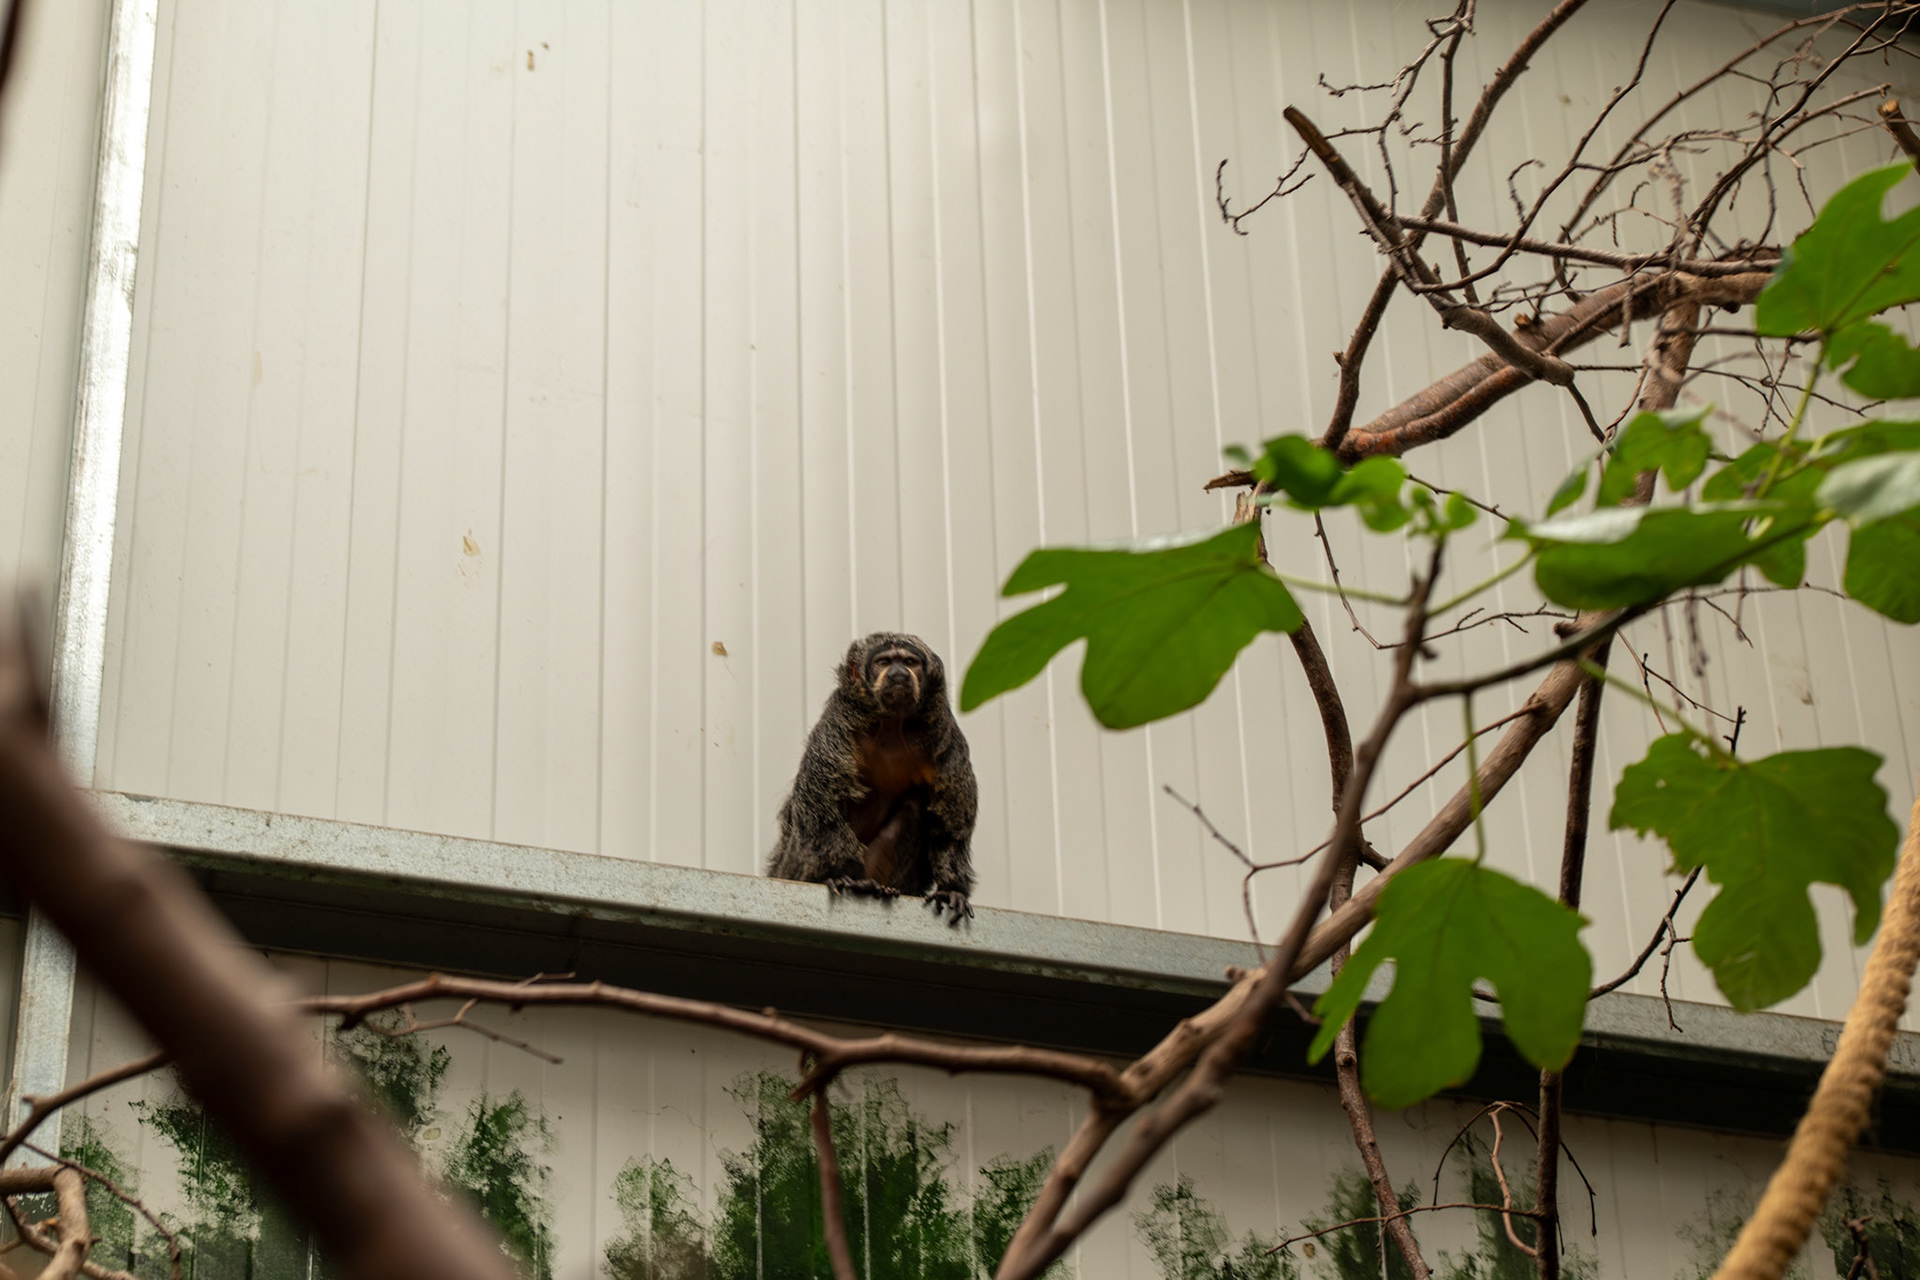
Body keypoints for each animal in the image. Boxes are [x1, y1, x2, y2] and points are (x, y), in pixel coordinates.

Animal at [766, 632, 977, 923]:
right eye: (884, 662)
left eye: (909, 662)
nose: (899, 674)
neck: (891, 726)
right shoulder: (837, 723)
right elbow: (821, 808)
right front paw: (843, 875)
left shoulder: (946, 737)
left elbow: (950, 825)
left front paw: (951, 888)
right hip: (797, 865)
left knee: (914, 807)